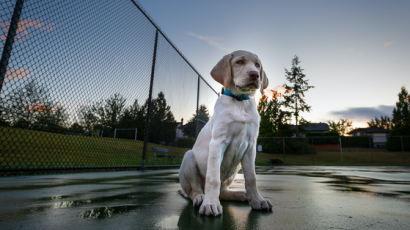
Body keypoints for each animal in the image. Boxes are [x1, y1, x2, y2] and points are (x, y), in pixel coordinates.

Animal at [178, 49, 270, 216]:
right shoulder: (218, 142)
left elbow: (251, 178)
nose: (255, 75)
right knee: (194, 190)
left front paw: (258, 200)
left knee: (222, 192)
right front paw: (210, 204)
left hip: (234, 170)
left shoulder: (251, 146)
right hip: (189, 158)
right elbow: (213, 178)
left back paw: (241, 195)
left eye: (257, 65)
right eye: (239, 62)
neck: (240, 101)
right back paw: (201, 198)